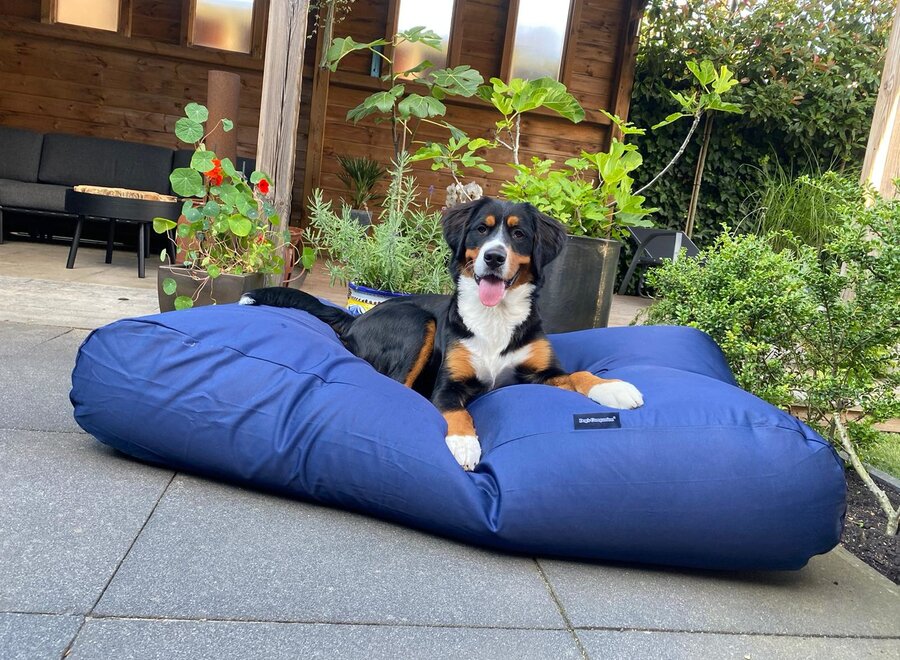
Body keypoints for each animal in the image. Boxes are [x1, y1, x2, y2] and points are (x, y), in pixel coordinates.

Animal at [243, 196, 644, 470]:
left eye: (518, 234)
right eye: (481, 229)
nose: (494, 257)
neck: (494, 317)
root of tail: (355, 318)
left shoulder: (541, 372)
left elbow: (579, 373)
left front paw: (615, 387)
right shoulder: (449, 384)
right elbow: (455, 411)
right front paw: (465, 445)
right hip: (418, 321)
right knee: (396, 385)